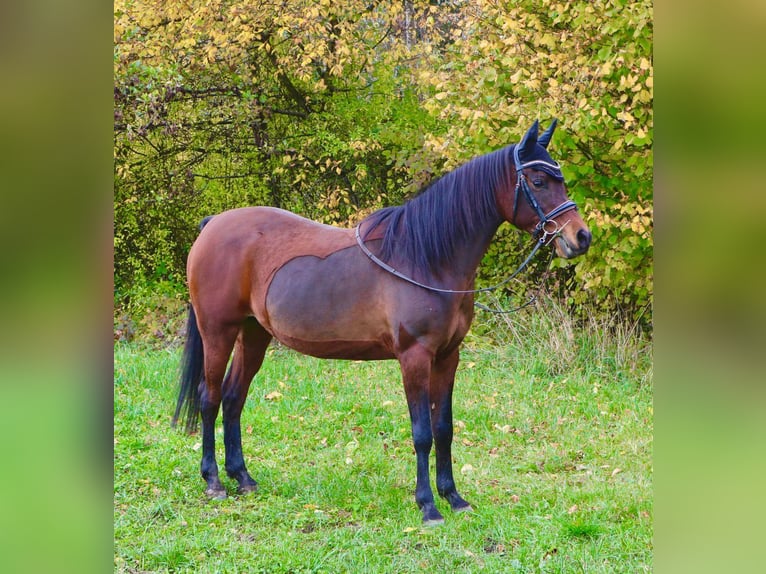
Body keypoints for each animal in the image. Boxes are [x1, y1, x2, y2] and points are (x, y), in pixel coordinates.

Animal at [172, 119, 592, 524]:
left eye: (560, 177)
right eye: (538, 181)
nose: (580, 237)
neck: (426, 257)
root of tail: (213, 225)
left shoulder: (448, 357)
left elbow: (444, 428)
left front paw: (453, 497)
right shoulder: (414, 357)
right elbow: (422, 433)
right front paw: (428, 506)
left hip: (254, 334)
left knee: (233, 398)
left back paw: (242, 477)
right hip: (218, 332)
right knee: (210, 397)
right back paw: (213, 481)